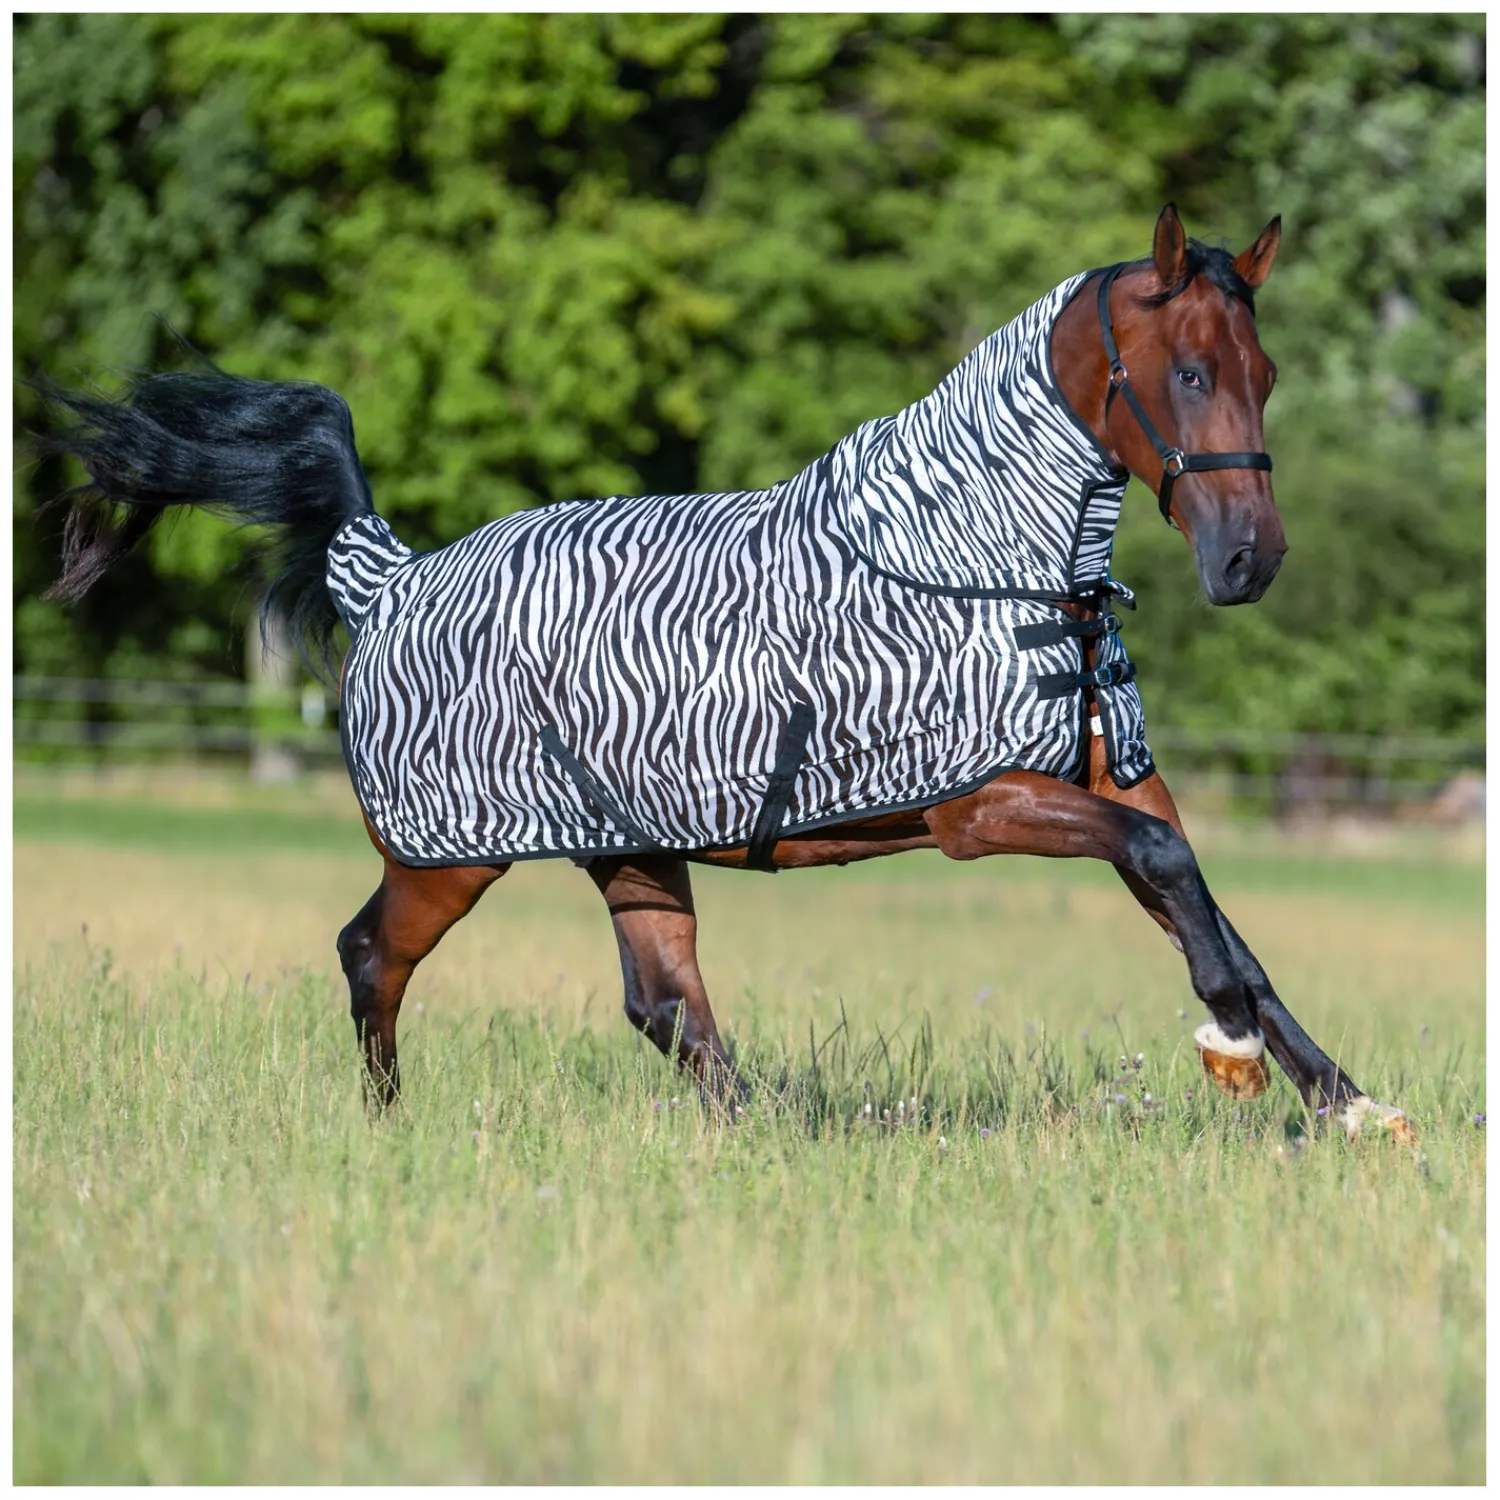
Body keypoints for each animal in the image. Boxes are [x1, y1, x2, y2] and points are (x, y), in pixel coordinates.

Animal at [35, 204, 1413, 1143]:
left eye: (1267, 374)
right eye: (1188, 372)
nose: (1249, 562)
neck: (982, 556)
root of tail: (390, 576)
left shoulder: (1116, 780)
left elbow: (1207, 906)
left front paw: (1349, 1105)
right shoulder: (984, 808)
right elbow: (1179, 883)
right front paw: (1232, 1052)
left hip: (631, 849)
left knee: (665, 1006)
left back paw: (766, 1136)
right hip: (451, 857)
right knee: (375, 956)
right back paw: (390, 1129)